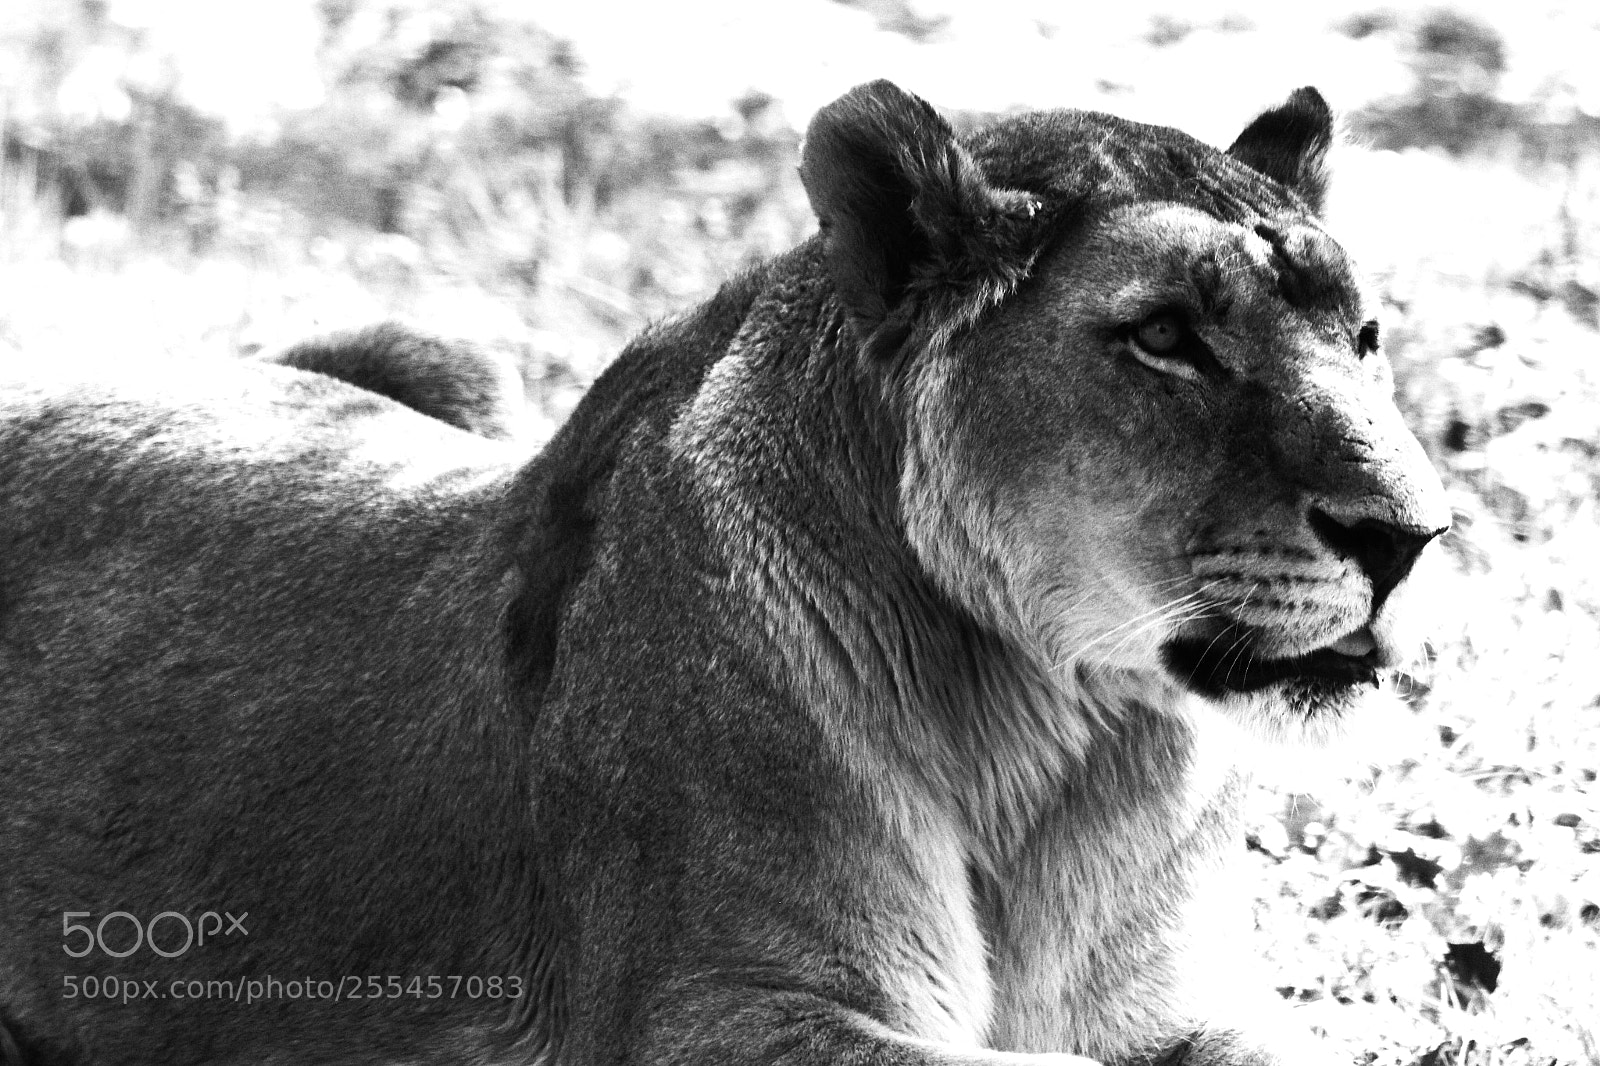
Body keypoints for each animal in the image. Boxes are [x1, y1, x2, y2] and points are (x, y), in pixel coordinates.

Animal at [0, 81, 1448, 1065]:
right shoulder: (703, 1011)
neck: (1055, 740)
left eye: (1367, 334)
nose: (1412, 532)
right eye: (1164, 337)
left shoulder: (1169, 1003)